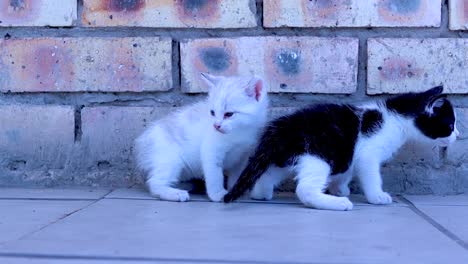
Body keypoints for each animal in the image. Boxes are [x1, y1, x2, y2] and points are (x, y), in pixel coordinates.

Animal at [133, 73, 268, 202]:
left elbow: (236, 175)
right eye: (212, 112)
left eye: (229, 114)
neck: (239, 131)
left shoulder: (242, 156)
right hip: (169, 159)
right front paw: (218, 194)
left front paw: (234, 191)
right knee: (154, 183)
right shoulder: (211, 151)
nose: (216, 125)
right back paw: (175, 193)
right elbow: (215, 175)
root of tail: (140, 146)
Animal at [223, 86, 458, 210]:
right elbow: (371, 176)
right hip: (319, 154)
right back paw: (337, 203)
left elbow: (347, 171)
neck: (395, 117)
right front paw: (377, 196)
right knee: (304, 189)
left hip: (286, 156)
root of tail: (281, 127)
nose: (458, 135)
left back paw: (261, 194)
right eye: (449, 125)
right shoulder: (368, 153)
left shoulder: (350, 153)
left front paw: (340, 187)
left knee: (267, 175)